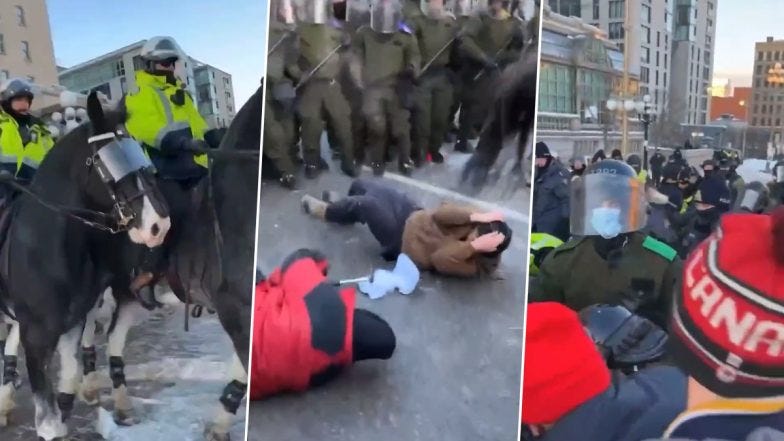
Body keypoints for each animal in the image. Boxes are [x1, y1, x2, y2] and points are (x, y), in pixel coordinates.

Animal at [0, 91, 170, 438]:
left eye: (135, 152)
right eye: (109, 162)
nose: (158, 225)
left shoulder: (72, 322)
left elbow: (68, 380)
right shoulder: (36, 335)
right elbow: (48, 417)